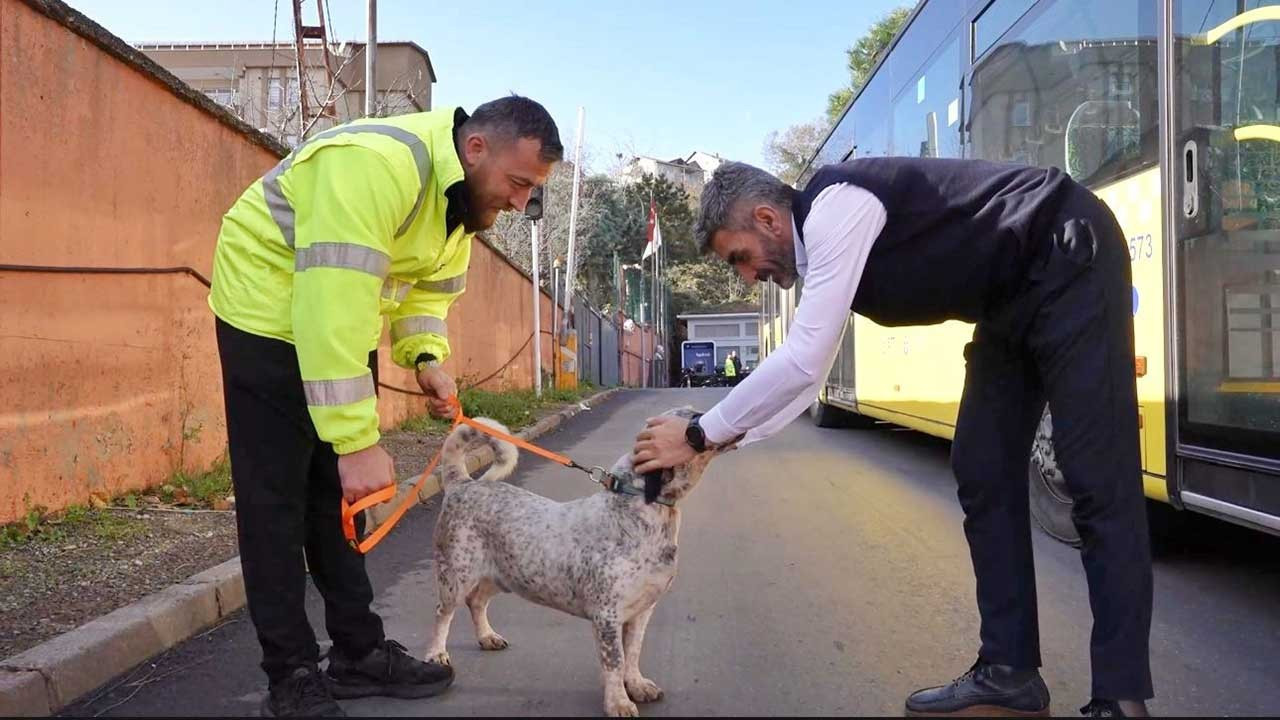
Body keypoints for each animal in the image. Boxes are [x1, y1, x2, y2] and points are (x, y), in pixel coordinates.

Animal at [427, 407, 727, 712]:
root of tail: (462, 484)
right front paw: (618, 702)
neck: (639, 512)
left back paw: (487, 637)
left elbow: (632, 653)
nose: (707, 425)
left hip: (502, 576)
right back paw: (436, 654)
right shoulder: (607, 616)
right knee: (443, 613)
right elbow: (615, 662)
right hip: (456, 577)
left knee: (476, 601)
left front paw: (637, 685)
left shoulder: (642, 611)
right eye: (691, 416)